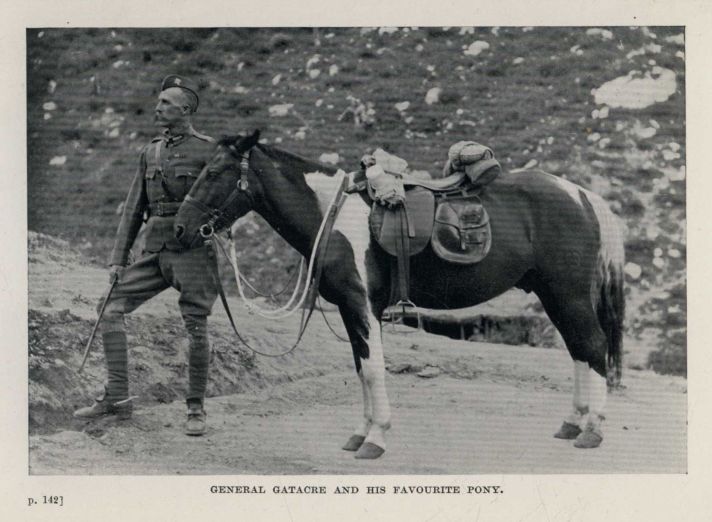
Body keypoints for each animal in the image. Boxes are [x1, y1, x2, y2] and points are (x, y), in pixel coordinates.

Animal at [174, 130, 625, 459]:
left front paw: (377, 439)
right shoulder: (348, 309)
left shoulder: (362, 306)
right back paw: (573, 423)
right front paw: (360, 434)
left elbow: (374, 370)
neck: (333, 216)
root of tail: (583, 196)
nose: (180, 229)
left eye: (213, 173)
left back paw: (593, 430)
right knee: (578, 349)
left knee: (592, 345)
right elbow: (361, 369)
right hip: (552, 294)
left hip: (568, 293)